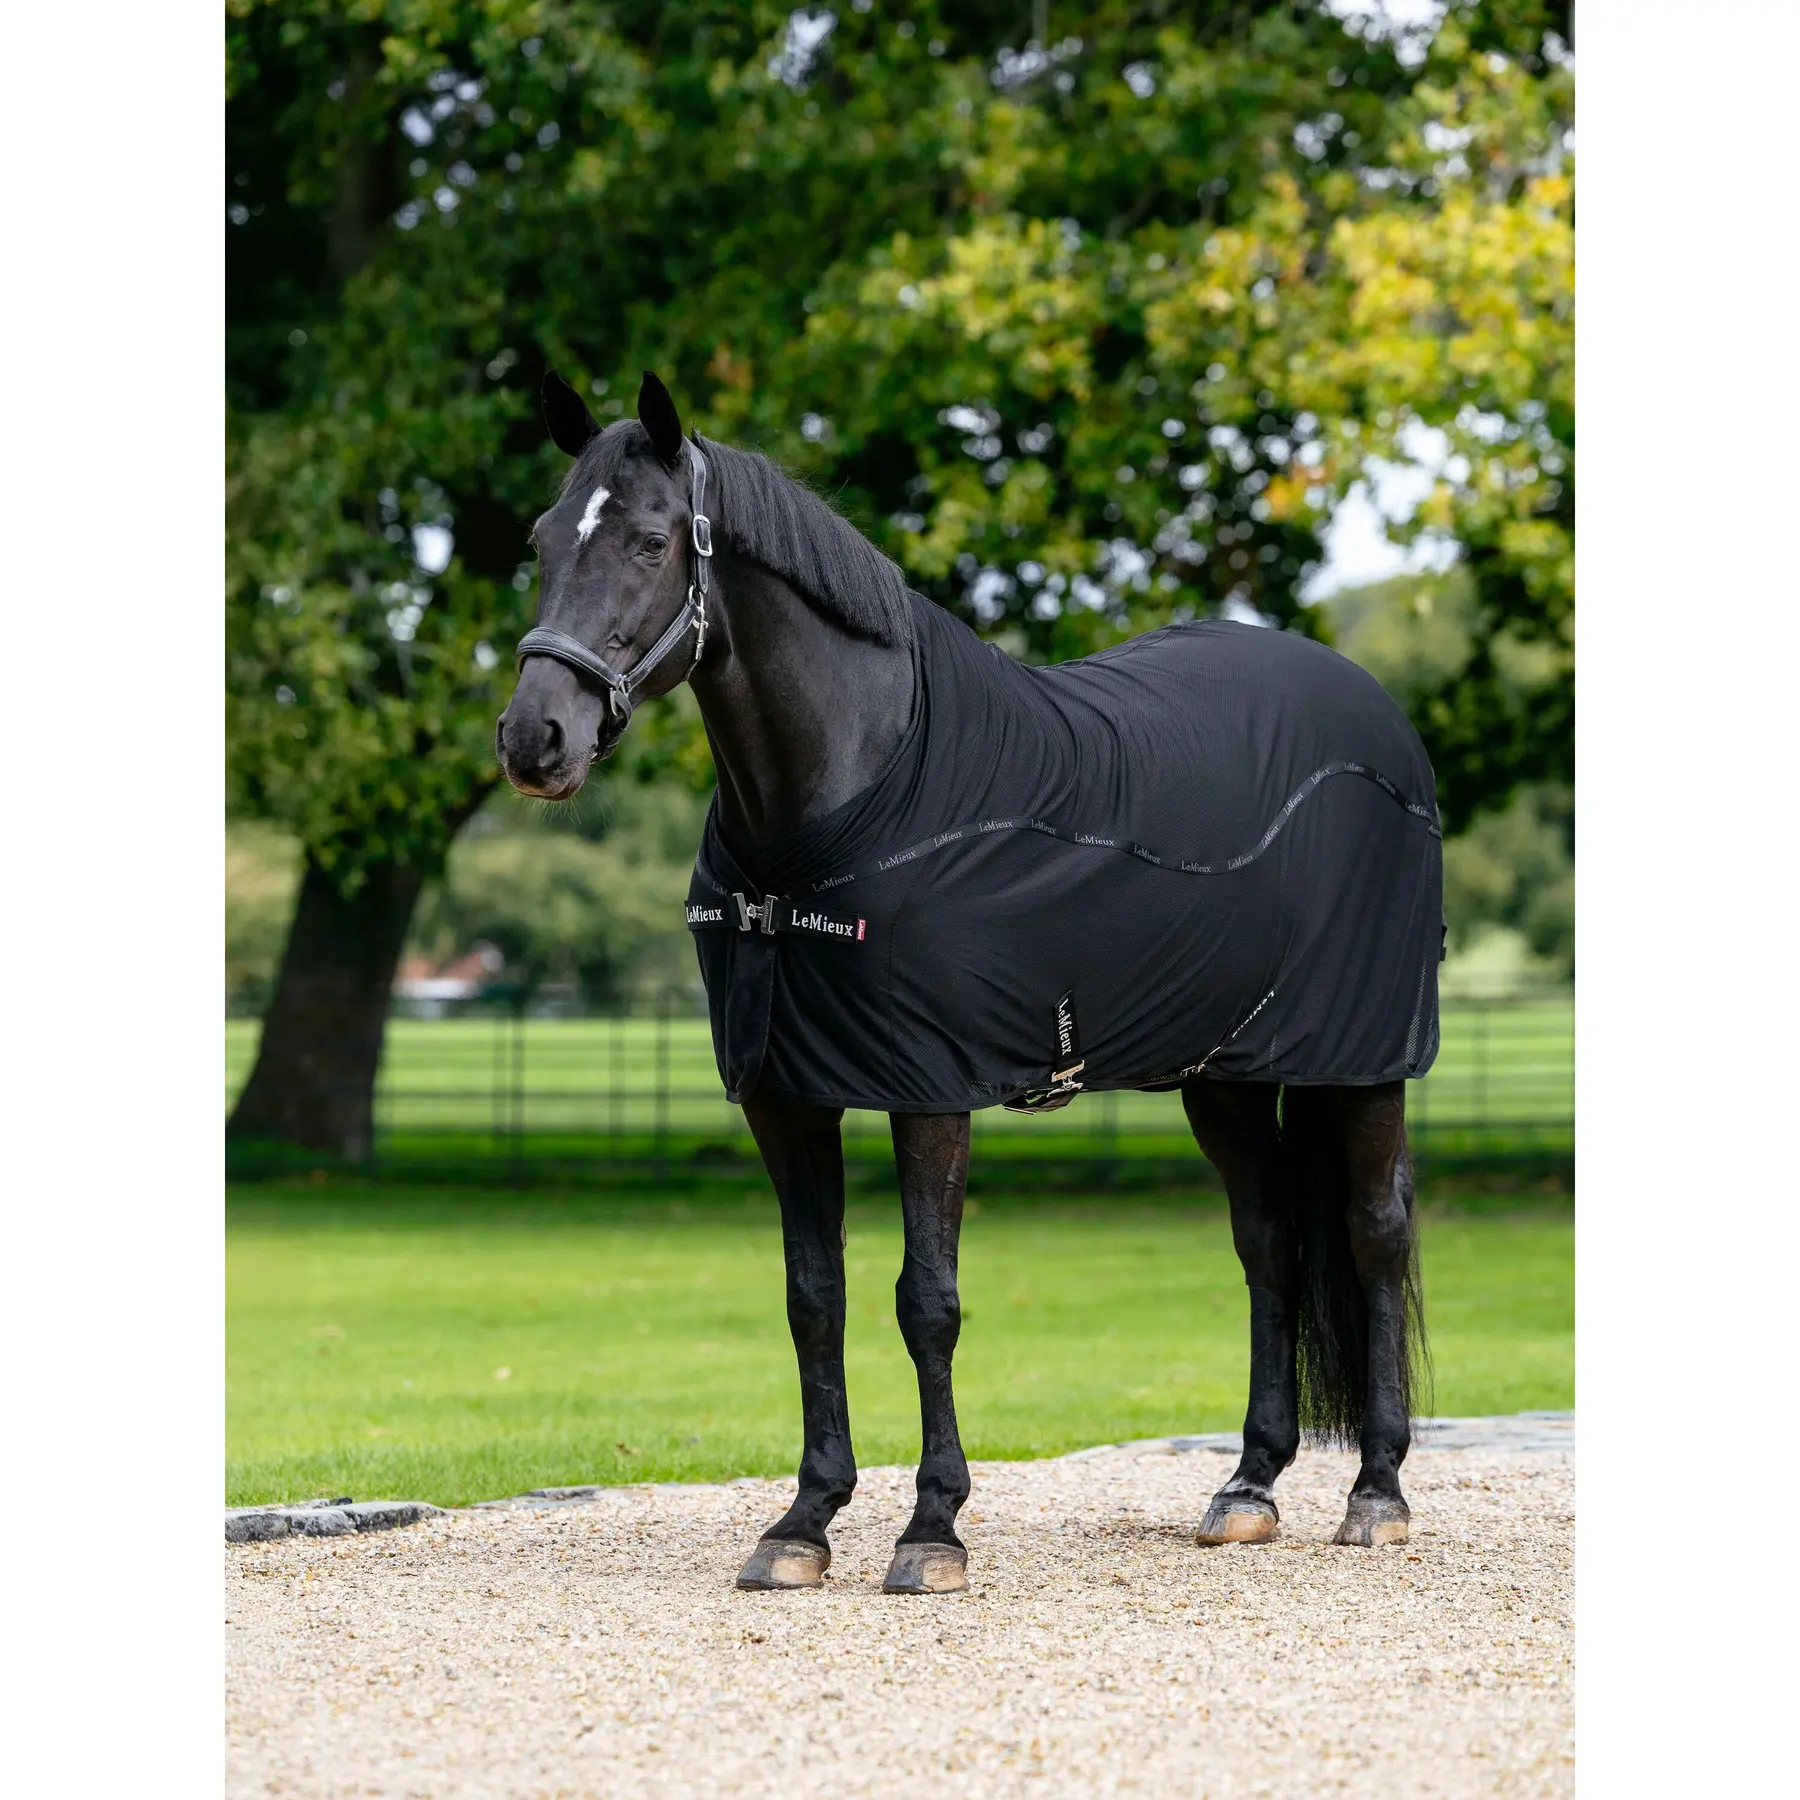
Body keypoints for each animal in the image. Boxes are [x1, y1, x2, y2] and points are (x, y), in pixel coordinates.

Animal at [496, 370, 1437, 1595]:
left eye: (653, 541)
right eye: (542, 537)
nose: (534, 739)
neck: (846, 797)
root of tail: (1373, 709)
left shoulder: (927, 1087)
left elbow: (925, 1302)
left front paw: (931, 1527)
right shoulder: (783, 1095)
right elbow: (814, 1297)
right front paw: (802, 1523)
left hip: (1359, 1063)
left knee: (1375, 1234)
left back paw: (1378, 1492)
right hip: (1223, 1074)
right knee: (1269, 1239)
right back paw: (1248, 1488)